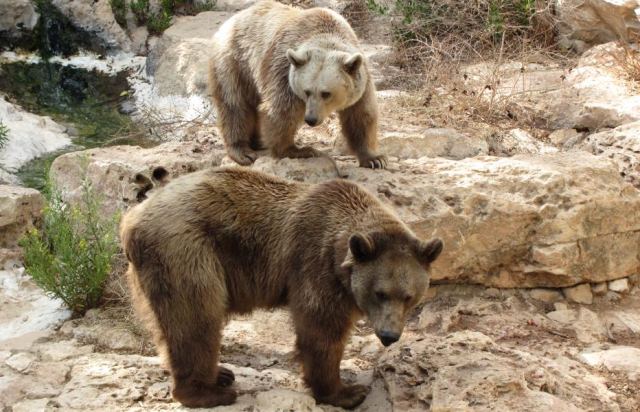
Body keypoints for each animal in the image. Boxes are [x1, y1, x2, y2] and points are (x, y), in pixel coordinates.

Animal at [120, 167, 443, 409]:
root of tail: (131, 220)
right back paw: (209, 391)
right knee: (196, 319)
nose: (389, 336)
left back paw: (219, 374)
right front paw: (347, 391)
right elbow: (321, 330)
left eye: (409, 296)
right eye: (380, 293)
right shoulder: (315, 265)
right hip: (186, 251)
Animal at [208, 0, 387, 169]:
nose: (311, 119)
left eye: (326, 93)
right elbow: (282, 111)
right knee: (235, 104)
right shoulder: (283, 71)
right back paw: (242, 151)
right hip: (235, 62)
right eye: (307, 91)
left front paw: (374, 159)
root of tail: (232, 19)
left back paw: (257, 141)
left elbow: (361, 115)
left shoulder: (360, 79)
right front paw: (297, 150)